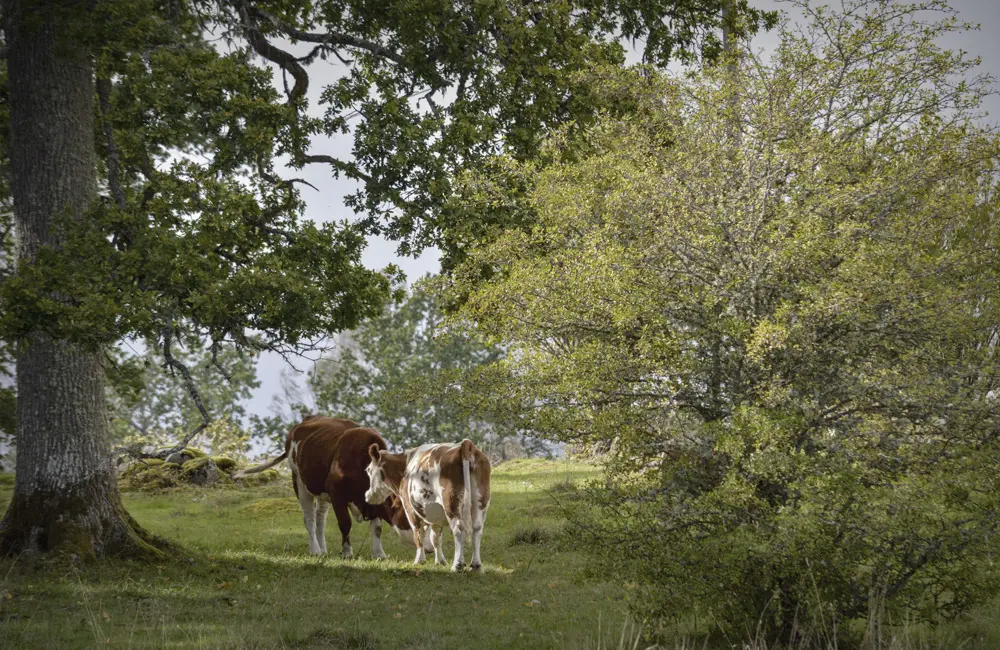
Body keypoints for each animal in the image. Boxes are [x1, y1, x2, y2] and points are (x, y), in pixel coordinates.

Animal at [234, 416, 414, 556]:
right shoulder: (336, 493)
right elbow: (345, 523)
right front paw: (347, 552)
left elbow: (376, 528)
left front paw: (379, 554)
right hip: (299, 481)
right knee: (310, 518)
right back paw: (315, 550)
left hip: (322, 493)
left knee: (320, 519)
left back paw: (323, 549)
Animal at [366, 438, 494, 568]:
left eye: (368, 470)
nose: (368, 496)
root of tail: (465, 444)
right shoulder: (435, 513)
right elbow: (435, 538)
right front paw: (440, 561)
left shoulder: (410, 509)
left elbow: (418, 534)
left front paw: (420, 560)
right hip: (481, 501)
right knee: (477, 529)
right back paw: (476, 565)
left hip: (451, 504)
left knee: (458, 529)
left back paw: (457, 564)